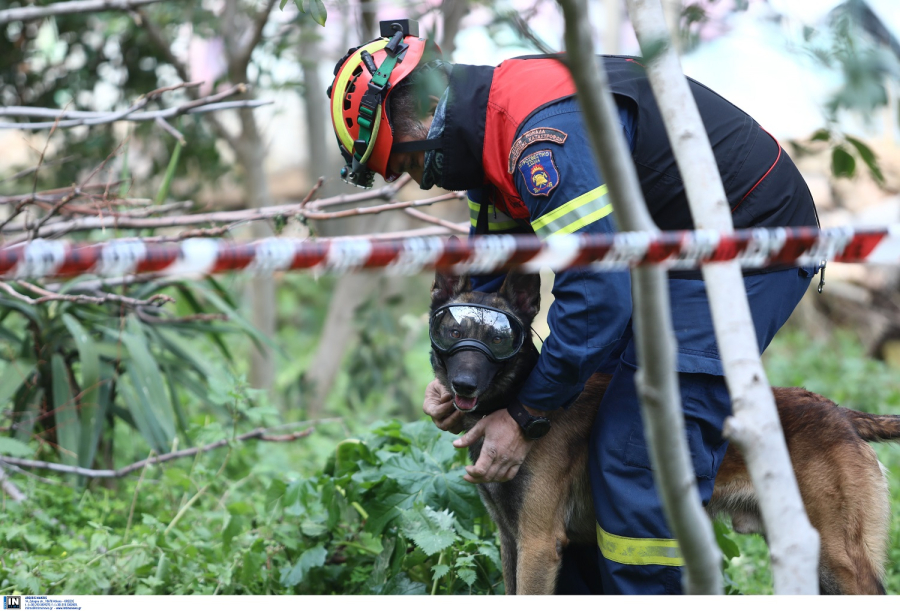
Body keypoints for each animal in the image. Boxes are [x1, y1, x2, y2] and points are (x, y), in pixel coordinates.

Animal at [428, 272, 900, 592]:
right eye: (452, 331)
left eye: (497, 338)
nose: (463, 386)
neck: (517, 400)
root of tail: (839, 413)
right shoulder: (511, 540)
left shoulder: (539, 544)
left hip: (837, 561)